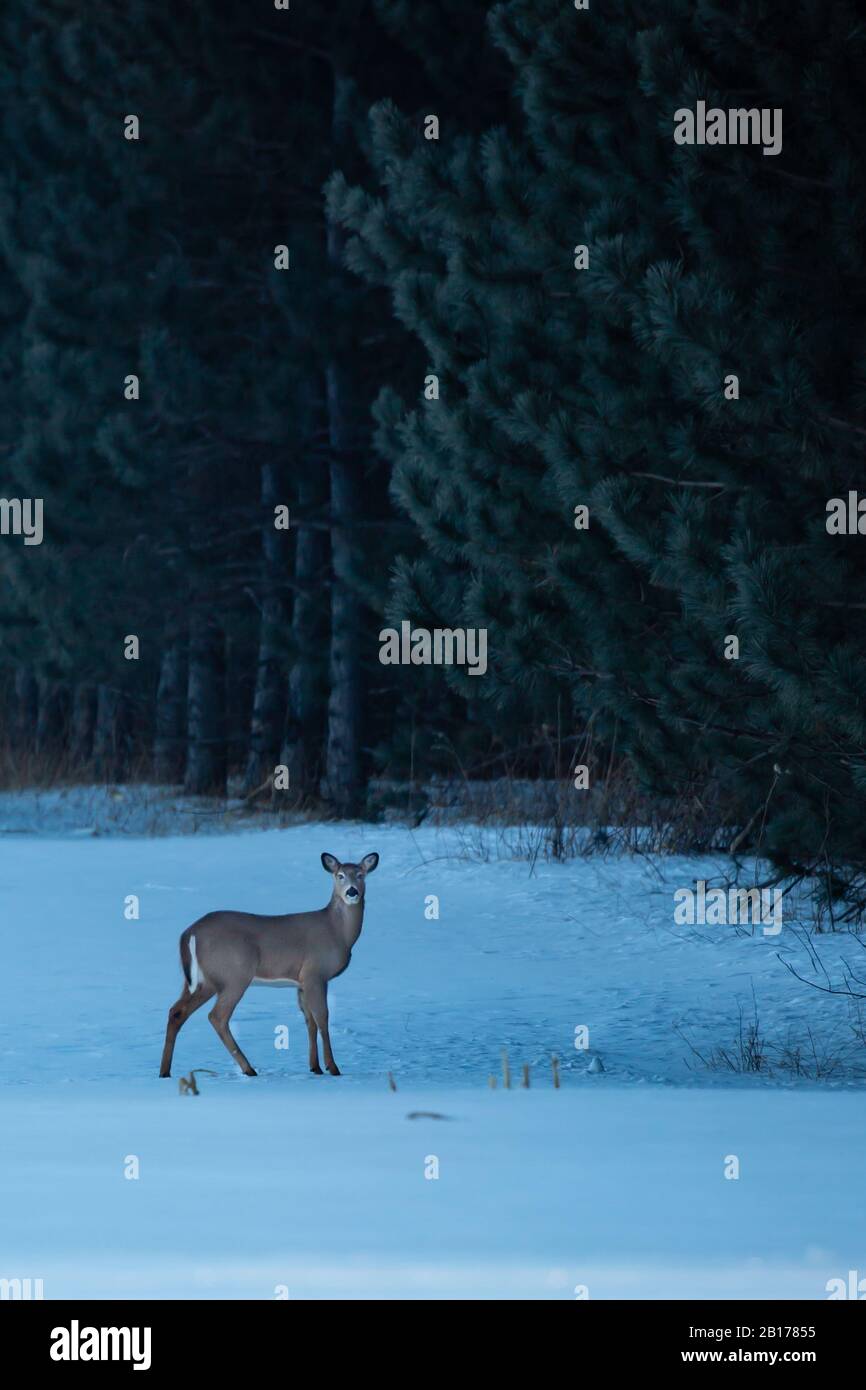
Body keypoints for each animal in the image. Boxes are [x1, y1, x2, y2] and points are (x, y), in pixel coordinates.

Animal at [161, 845, 378, 1084]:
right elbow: (323, 1018)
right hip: (234, 974)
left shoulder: (301, 981)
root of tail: (189, 932)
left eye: (361, 874)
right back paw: (249, 1069)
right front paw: (333, 1067)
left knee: (176, 1012)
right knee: (217, 1016)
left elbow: (309, 1021)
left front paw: (315, 1067)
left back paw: (164, 1071)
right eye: (339, 875)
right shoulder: (315, 973)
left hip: (202, 980)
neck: (337, 932)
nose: (352, 892)